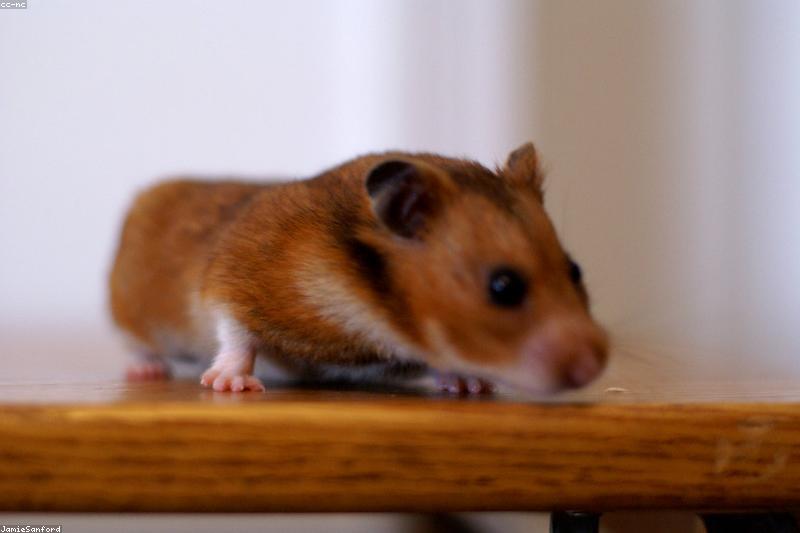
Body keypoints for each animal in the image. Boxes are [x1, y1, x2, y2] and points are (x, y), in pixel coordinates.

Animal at [109, 143, 608, 394]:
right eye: (503, 286)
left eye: (576, 270)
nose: (594, 367)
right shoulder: (232, 277)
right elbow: (237, 333)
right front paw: (229, 385)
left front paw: (469, 384)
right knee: (136, 343)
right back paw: (147, 371)